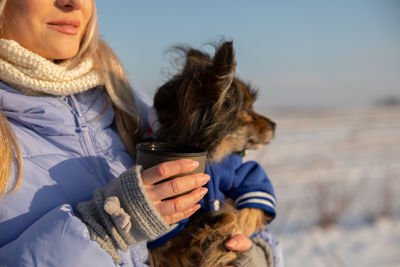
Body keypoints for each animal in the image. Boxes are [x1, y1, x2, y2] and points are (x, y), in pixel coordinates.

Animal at [148, 41, 276, 267]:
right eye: (248, 110)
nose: (274, 125)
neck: (209, 157)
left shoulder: (246, 175)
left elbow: (245, 210)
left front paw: (220, 235)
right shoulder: (169, 236)